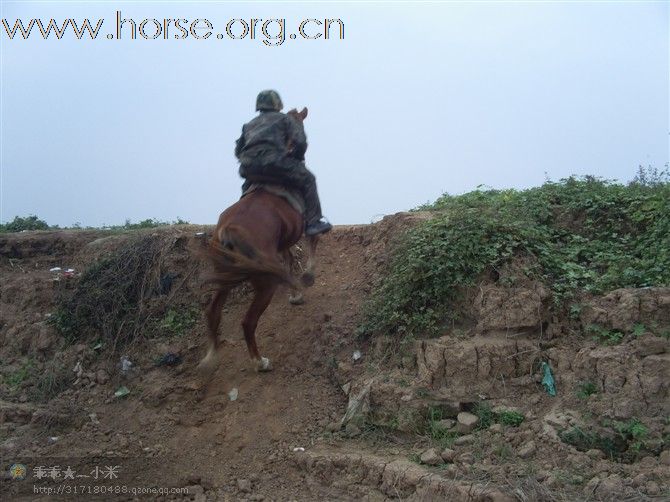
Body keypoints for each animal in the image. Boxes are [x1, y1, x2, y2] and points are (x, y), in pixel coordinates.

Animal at [198, 109, 318, 376]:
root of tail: (228, 230)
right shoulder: (304, 224)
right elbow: (312, 242)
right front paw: (308, 276)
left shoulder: (282, 242)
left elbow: (289, 260)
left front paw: (295, 292)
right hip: (264, 285)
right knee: (248, 322)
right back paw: (259, 361)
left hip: (226, 276)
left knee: (213, 313)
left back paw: (210, 356)